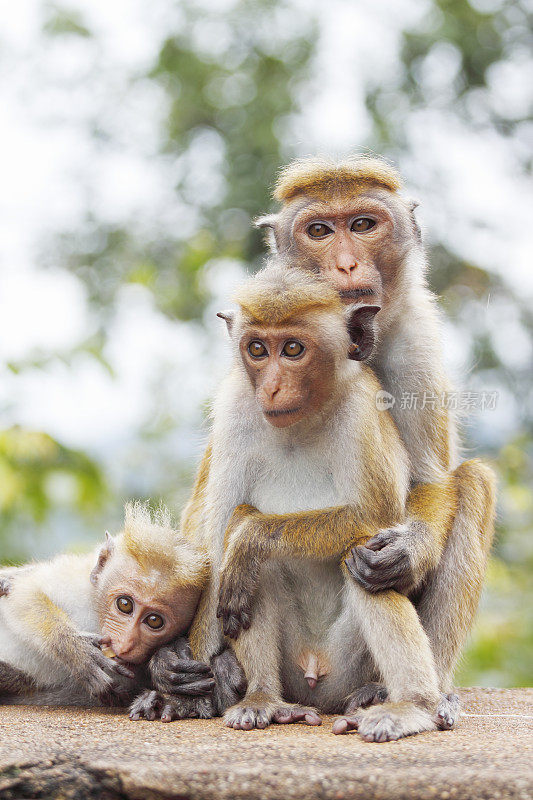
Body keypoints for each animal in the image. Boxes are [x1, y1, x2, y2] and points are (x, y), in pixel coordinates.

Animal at [0, 500, 220, 712]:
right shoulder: (78, 586)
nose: (123, 644)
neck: (97, 620)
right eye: (125, 605)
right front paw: (77, 650)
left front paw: (163, 666)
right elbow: (25, 593)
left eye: (154, 621)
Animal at [178, 266, 444, 740]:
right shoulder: (235, 410)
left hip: (348, 668)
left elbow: (374, 516)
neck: (303, 421)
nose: (271, 387)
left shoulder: (362, 408)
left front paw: (251, 535)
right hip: (292, 666)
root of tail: (314, 672)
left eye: (293, 349)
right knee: (247, 569)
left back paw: (411, 706)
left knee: (359, 560)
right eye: (258, 349)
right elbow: (217, 540)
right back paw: (261, 699)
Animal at [252, 156, 494, 720]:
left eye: (363, 225)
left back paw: (403, 694)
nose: (345, 265)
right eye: (319, 231)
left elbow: (431, 480)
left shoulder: (415, 341)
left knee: (471, 482)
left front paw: (407, 554)